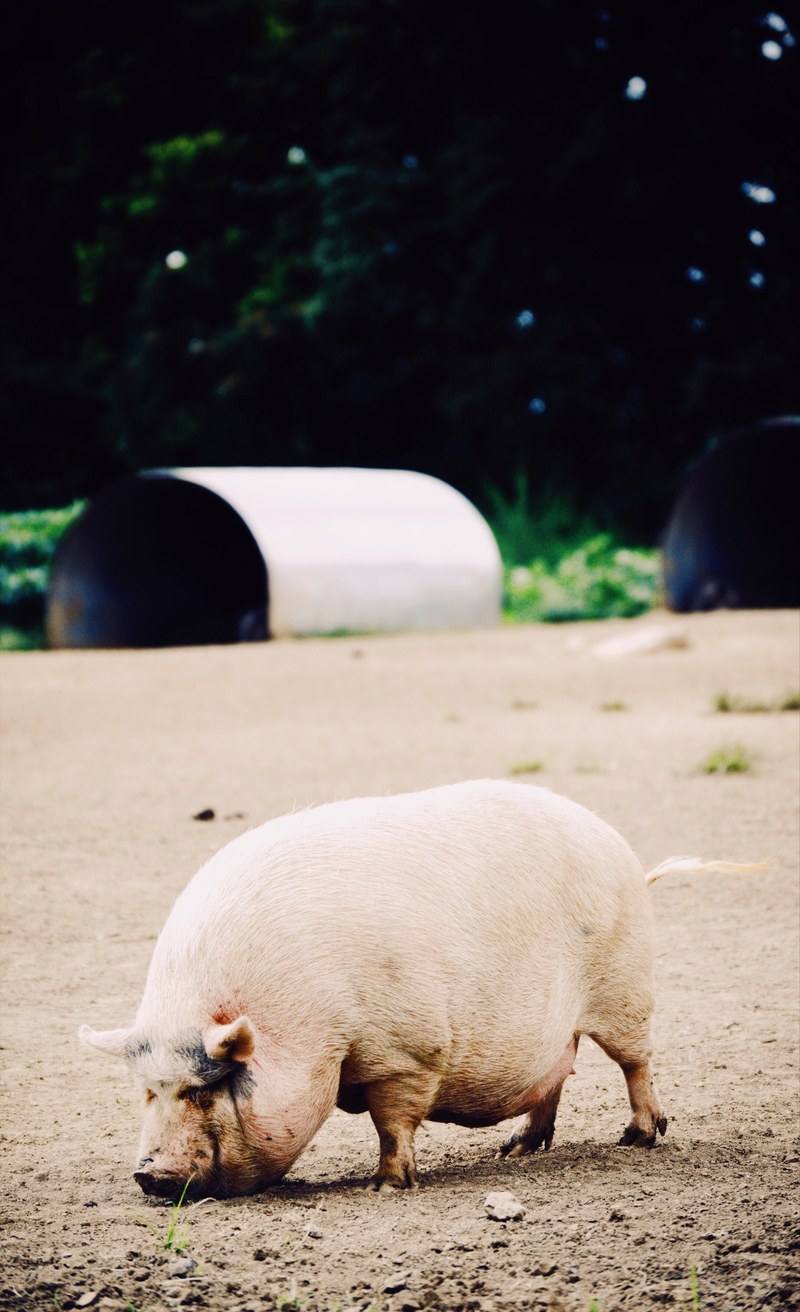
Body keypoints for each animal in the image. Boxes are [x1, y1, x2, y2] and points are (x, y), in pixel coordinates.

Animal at [80, 779, 756, 1198]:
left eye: (202, 1091)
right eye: (147, 1092)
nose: (150, 1176)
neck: (309, 1030)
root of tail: (628, 858)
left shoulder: (405, 1050)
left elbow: (393, 1120)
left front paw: (386, 1185)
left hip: (625, 987)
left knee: (634, 1061)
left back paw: (638, 1137)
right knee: (556, 1075)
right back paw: (516, 1151)